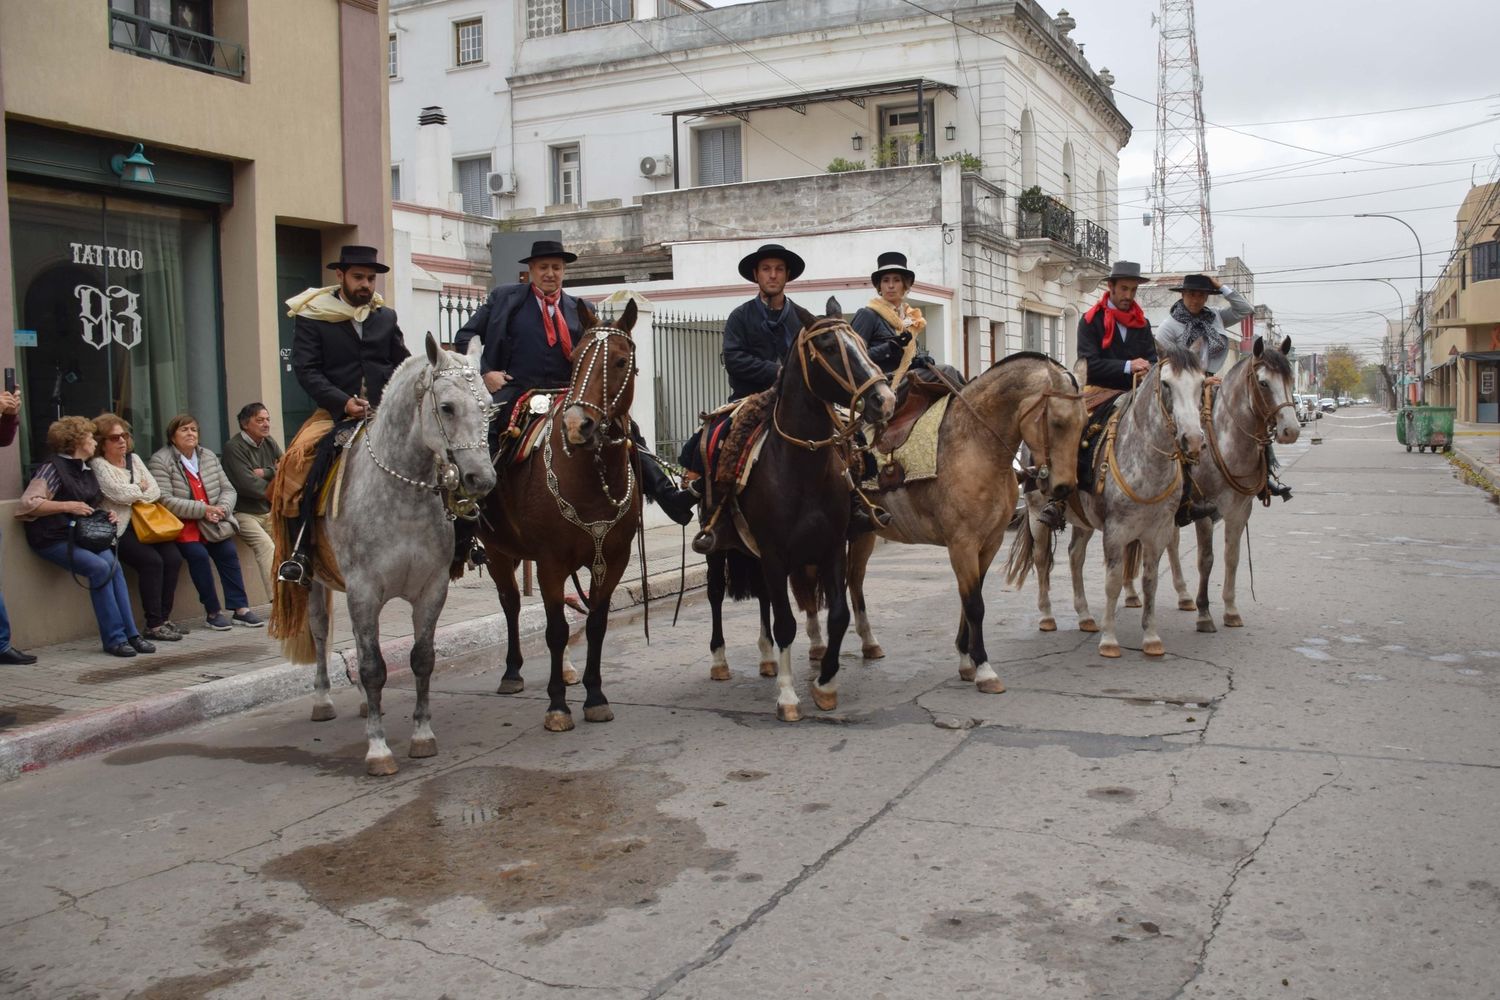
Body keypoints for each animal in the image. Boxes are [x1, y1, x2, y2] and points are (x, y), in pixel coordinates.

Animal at [273, 335, 495, 779]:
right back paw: (323, 700)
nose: (482, 479)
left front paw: (422, 736)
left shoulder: (431, 589)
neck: (401, 494)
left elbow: (422, 659)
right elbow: (374, 666)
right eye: (447, 407)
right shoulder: (364, 591)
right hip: (314, 581)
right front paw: (378, 749)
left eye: (489, 405)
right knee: (321, 633)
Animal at [477, 301, 642, 731]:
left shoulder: (612, 560)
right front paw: (558, 706)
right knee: (511, 603)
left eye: (621, 361)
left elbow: (596, 624)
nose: (577, 426)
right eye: (576, 360)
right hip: (497, 550)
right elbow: (555, 629)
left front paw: (595, 696)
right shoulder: (549, 562)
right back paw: (512, 672)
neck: (591, 475)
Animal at [702, 296, 888, 719]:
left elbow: (838, 615)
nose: (884, 399)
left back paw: (768, 658)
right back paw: (720, 661)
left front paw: (826, 683)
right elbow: (786, 621)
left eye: (863, 344)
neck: (800, 465)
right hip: (717, 545)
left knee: (764, 597)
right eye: (831, 347)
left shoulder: (832, 546)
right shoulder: (774, 552)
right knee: (717, 593)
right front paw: (788, 696)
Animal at [828, 353, 1086, 695]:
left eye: (1084, 423)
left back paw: (867, 643)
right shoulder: (961, 544)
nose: (1063, 488)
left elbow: (969, 599)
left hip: (864, 534)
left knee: (854, 580)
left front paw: (966, 661)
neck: (974, 443)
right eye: (1057, 422)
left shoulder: (988, 543)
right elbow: (974, 604)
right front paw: (984, 670)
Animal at [1008, 347, 1206, 659]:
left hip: (1083, 521)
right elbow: (1112, 583)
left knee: (1075, 556)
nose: (1194, 440)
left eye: (1201, 383)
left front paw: (1151, 637)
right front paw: (1109, 640)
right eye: (1166, 384)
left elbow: (1150, 582)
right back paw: (1047, 616)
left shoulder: (1157, 533)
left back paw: (1085, 616)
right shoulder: (1116, 532)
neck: (1148, 465)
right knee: (1041, 560)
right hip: (1035, 511)